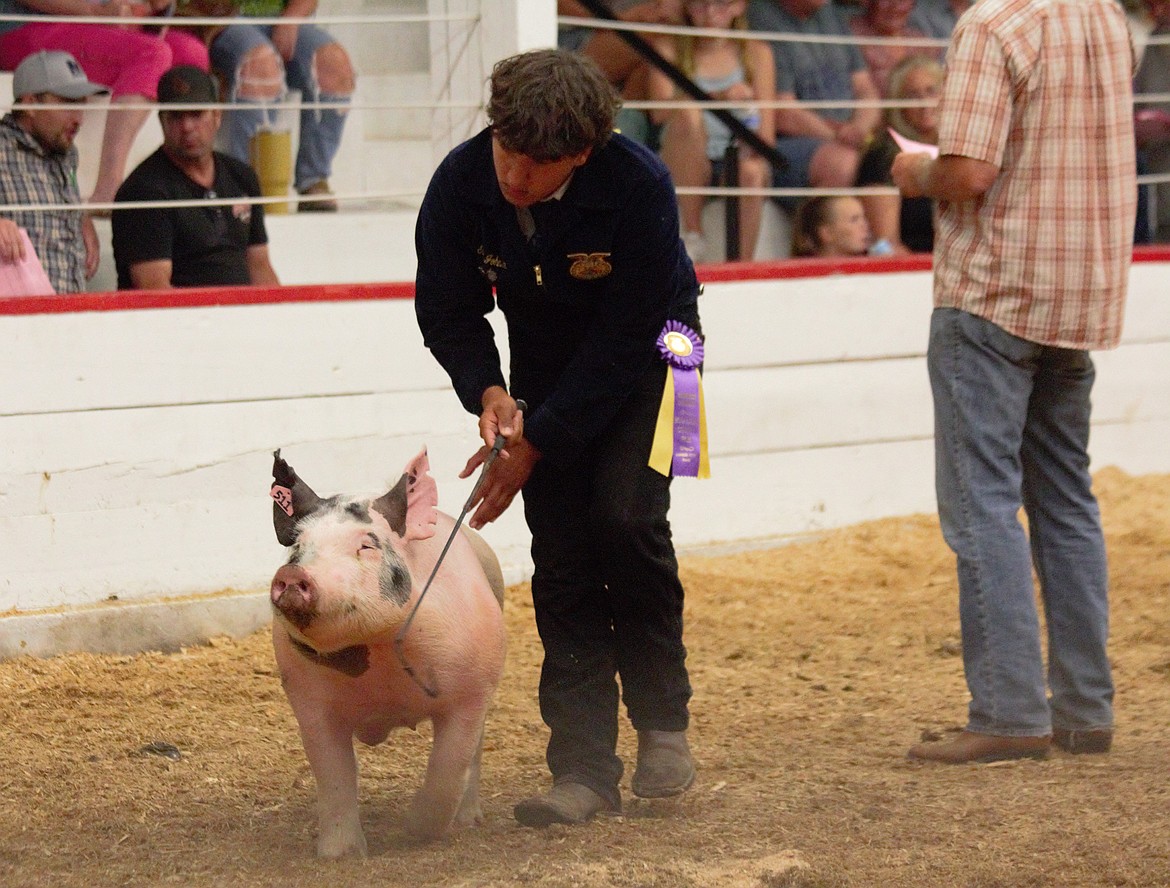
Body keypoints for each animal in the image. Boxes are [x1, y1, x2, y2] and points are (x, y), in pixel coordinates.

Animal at [267, 446, 505, 856]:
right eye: (298, 547)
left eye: (367, 544)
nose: (294, 575)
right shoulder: (306, 699)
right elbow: (334, 775)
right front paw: (340, 855)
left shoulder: (473, 690)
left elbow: (449, 766)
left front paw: (415, 830)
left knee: (474, 755)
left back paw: (468, 821)